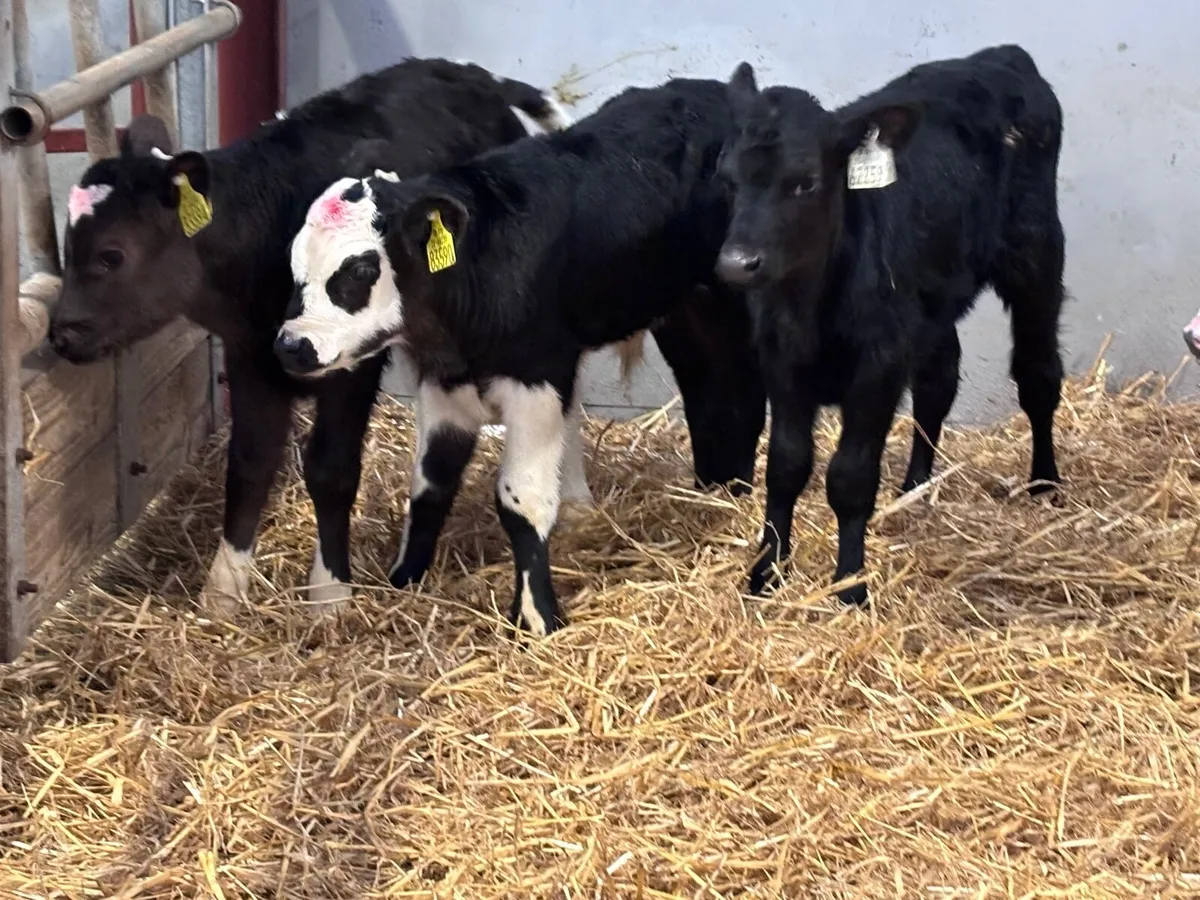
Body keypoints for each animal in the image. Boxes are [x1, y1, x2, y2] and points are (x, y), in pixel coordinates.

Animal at [48, 58, 582, 614]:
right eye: (67, 245)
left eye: (111, 255)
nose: (60, 334)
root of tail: (468, 72)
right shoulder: (251, 357)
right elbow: (250, 464)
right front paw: (223, 590)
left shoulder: (351, 361)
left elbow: (331, 467)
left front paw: (330, 592)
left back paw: (574, 496)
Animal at [279, 76, 768, 635]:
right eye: (294, 265)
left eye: (360, 269)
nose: (291, 345)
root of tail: (723, 88)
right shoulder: (445, 382)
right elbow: (431, 483)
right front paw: (404, 578)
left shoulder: (536, 378)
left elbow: (521, 501)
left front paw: (537, 618)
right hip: (681, 309)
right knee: (708, 388)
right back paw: (714, 485)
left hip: (728, 299)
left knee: (742, 387)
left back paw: (735, 491)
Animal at [714, 46, 1068, 606]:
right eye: (727, 180)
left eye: (805, 182)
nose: (736, 263)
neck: (812, 307)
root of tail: (1001, 56)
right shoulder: (782, 359)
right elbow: (786, 465)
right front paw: (767, 571)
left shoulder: (876, 366)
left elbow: (850, 477)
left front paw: (849, 586)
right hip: (929, 303)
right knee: (938, 382)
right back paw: (915, 488)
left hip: (1036, 251)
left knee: (1038, 374)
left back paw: (1045, 483)